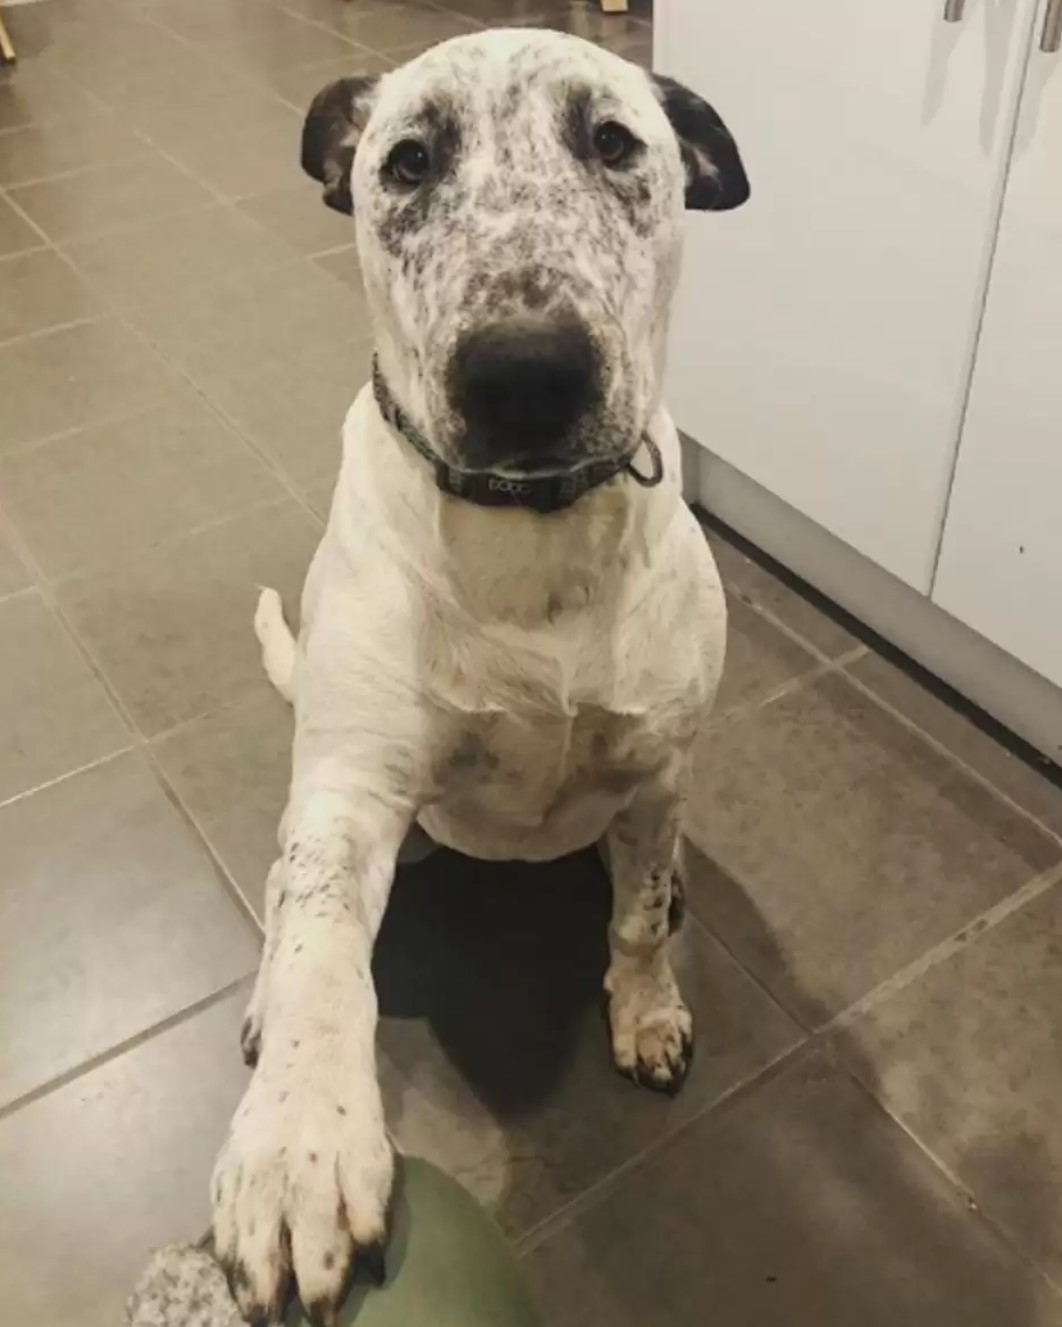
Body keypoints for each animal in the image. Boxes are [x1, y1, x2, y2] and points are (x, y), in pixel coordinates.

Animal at [211, 25, 748, 1321]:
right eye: (407, 161)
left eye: (613, 141)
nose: (526, 371)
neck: (528, 534)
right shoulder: (348, 796)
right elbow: (316, 959)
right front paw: (296, 1146)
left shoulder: (659, 773)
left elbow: (639, 920)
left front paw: (646, 1008)